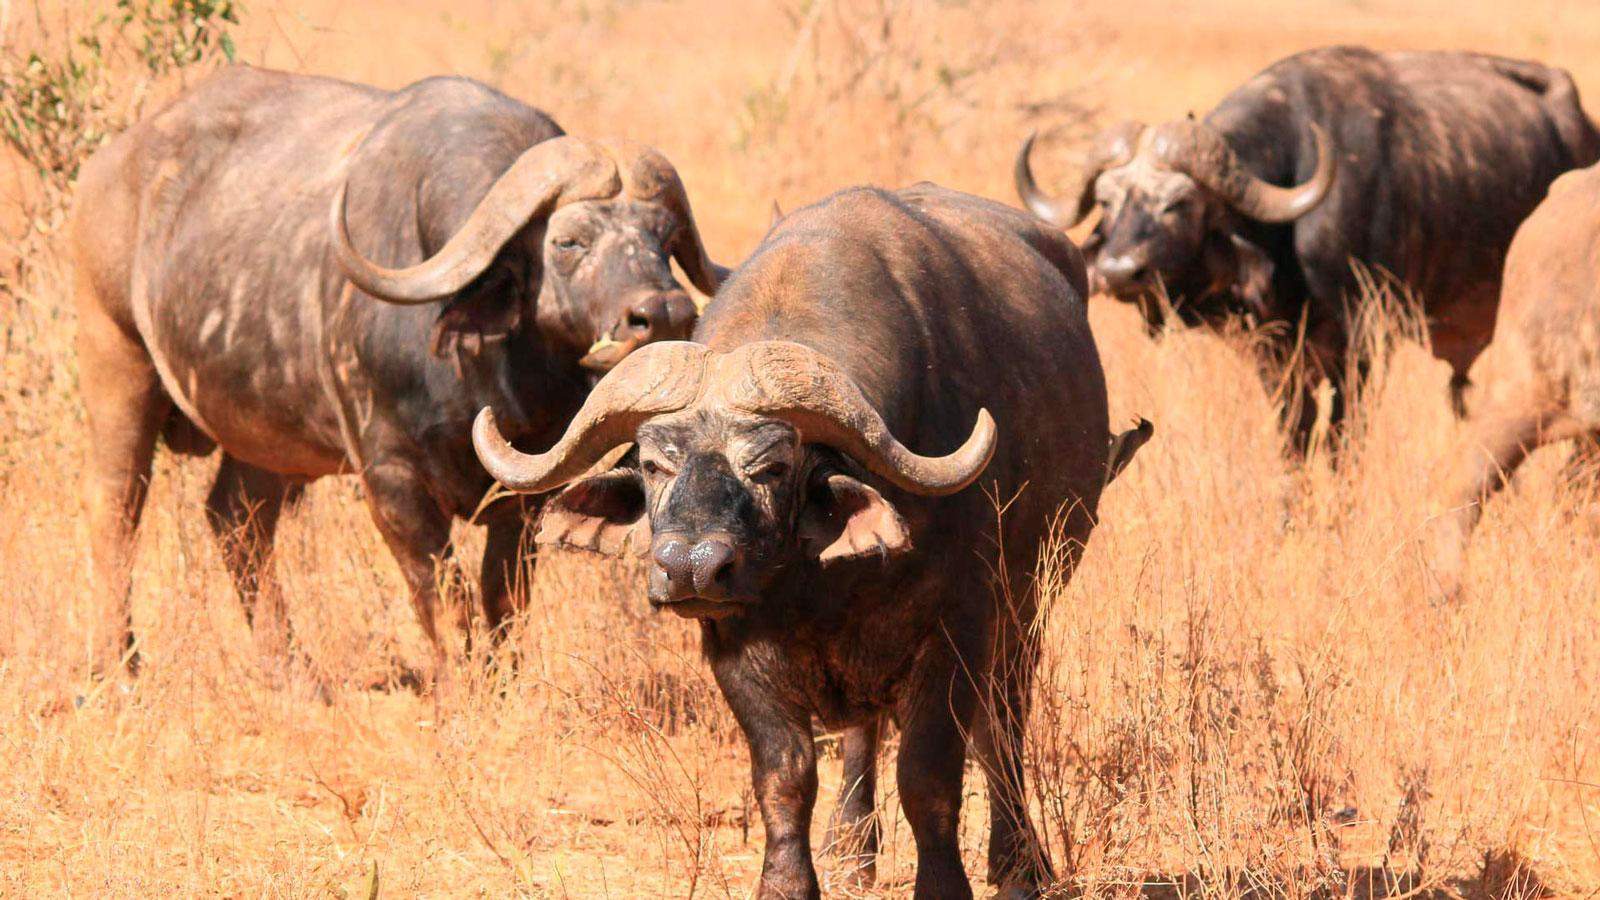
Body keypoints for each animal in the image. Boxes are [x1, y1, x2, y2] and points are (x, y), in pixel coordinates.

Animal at [75, 66, 723, 675]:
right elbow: (443, 598)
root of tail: (108, 167)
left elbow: (502, 602)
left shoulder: (525, 496)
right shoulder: (390, 481)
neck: (481, 372)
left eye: (665, 240)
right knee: (117, 510)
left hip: (263, 437)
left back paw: (291, 671)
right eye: (568, 242)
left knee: (237, 520)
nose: (664, 312)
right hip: (115, 363)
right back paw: (119, 662)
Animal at [473, 184, 1152, 896]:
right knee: (864, 732)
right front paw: (787, 880)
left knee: (1004, 725)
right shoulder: (732, 647)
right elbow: (784, 775)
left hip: (1030, 606)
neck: (819, 585)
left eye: (773, 466)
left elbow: (930, 774)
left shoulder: (960, 626)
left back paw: (1019, 861)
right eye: (655, 464)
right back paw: (852, 848)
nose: (690, 567)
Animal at [1017, 45, 1593, 445]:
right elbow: (1294, 438)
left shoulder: (1364, 347)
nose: (1118, 271)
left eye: (1178, 203)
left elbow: (1341, 440)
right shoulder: (1275, 360)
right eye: (1107, 201)